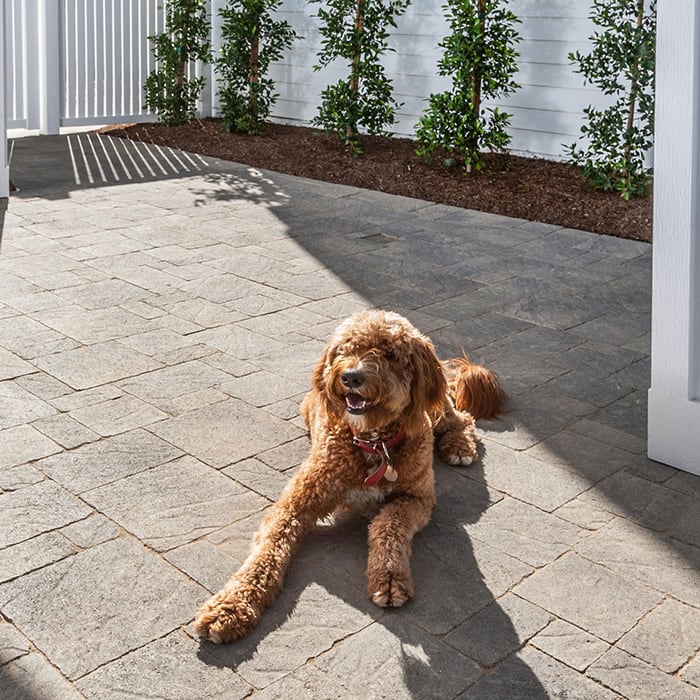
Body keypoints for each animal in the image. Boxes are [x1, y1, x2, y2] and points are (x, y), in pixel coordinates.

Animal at [194, 309, 505, 643]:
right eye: (344, 349)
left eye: (390, 354)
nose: (351, 377)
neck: (373, 442)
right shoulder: (295, 503)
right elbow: (268, 548)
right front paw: (232, 604)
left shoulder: (417, 498)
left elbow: (388, 524)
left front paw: (389, 578)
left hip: (433, 410)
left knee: (463, 419)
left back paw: (459, 446)